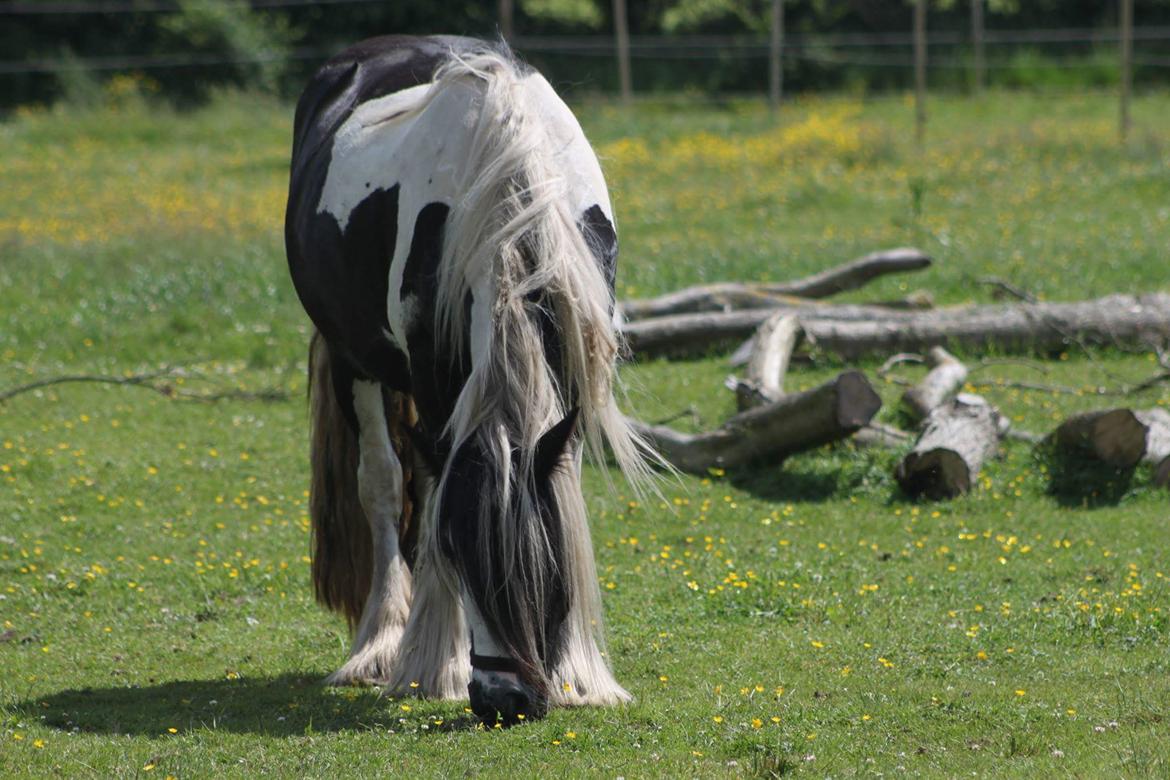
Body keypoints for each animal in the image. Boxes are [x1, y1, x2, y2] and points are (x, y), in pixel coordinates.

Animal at [279, 33, 655, 725]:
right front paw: (434, 665)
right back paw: (380, 643)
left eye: (541, 564)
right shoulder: (430, 378)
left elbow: (562, 485)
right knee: (384, 484)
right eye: (459, 553)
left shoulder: (576, 358)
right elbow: (429, 496)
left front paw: (579, 671)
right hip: (354, 361)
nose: (504, 701)